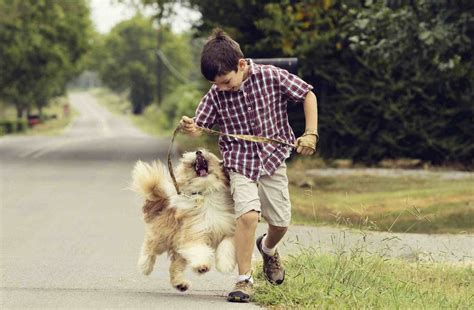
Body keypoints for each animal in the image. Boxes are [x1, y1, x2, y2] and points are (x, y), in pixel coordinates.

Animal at [131, 150, 236, 290]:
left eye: (206, 152)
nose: (198, 152)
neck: (206, 194)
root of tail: (163, 202)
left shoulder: (229, 229)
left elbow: (226, 246)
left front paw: (225, 265)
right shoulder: (194, 234)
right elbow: (199, 249)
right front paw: (202, 266)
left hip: (178, 247)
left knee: (175, 265)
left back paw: (180, 284)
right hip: (162, 237)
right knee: (149, 247)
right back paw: (145, 266)